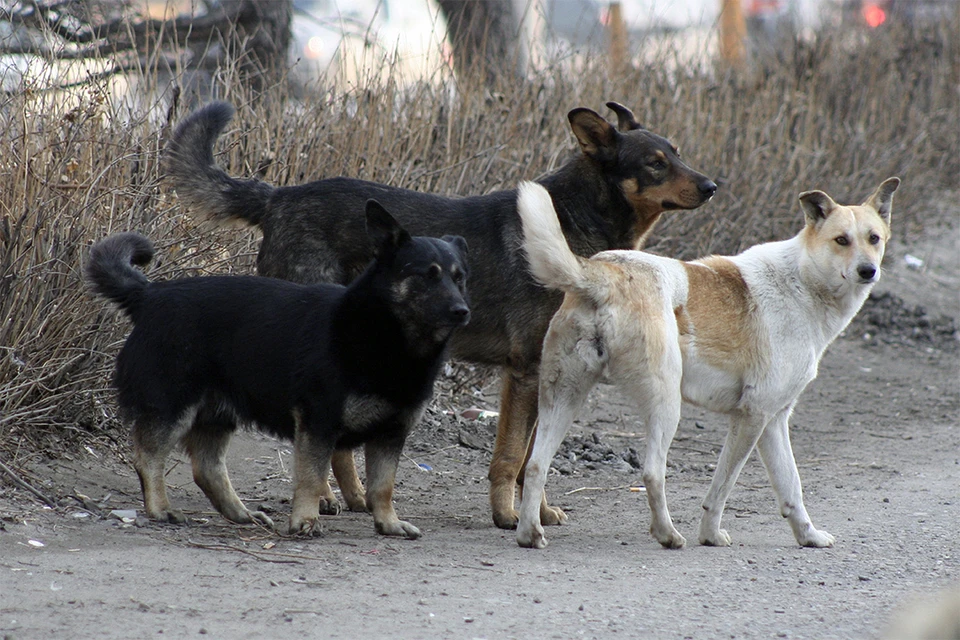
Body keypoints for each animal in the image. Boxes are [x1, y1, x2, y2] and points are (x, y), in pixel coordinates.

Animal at [88, 202, 470, 536]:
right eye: (427, 275)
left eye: (459, 277)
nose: (462, 311)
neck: (386, 336)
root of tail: (149, 294)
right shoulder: (318, 424)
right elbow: (313, 478)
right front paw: (305, 521)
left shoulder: (391, 434)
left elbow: (382, 487)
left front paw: (388, 524)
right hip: (173, 407)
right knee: (148, 457)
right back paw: (160, 509)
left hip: (216, 415)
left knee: (207, 469)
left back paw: (241, 514)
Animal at [169, 101, 716, 528]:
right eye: (655, 164)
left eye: (678, 154)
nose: (712, 185)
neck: (573, 220)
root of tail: (278, 197)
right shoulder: (525, 373)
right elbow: (510, 457)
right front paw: (508, 516)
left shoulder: (546, 375)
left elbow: (532, 458)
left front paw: (539, 510)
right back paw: (323, 498)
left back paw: (352, 497)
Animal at [516, 178, 900, 548]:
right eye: (841, 240)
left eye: (874, 238)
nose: (868, 271)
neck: (803, 282)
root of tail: (604, 273)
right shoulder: (752, 417)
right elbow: (722, 487)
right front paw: (711, 536)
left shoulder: (774, 421)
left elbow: (791, 486)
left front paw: (809, 537)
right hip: (666, 405)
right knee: (652, 472)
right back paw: (668, 535)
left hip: (563, 400)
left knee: (535, 466)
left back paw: (529, 534)